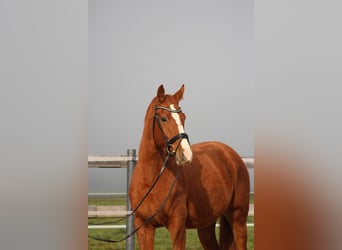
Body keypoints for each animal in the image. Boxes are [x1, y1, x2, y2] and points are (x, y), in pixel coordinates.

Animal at [128, 85, 248, 249]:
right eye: (164, 118)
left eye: (183, 117)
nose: (185, 154)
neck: (151, 179)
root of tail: (231, 155)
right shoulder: (144, 227)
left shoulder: (177, 226)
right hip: (206, 224)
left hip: (238, 217)